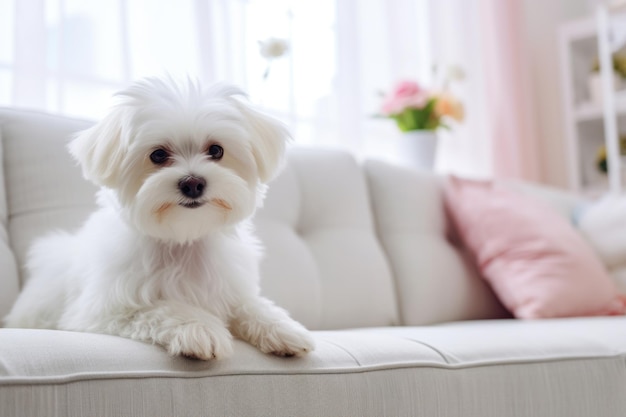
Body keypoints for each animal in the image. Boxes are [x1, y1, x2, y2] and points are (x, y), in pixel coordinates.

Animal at [4, 76, 314, 360]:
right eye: (158, 155)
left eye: (216, 150)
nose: (193, 183)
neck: (182, 238)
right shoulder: (101, 310)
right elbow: (160, 307)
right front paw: (199, 327)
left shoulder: (230, 286)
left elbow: (250, 304)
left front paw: (283, 328)